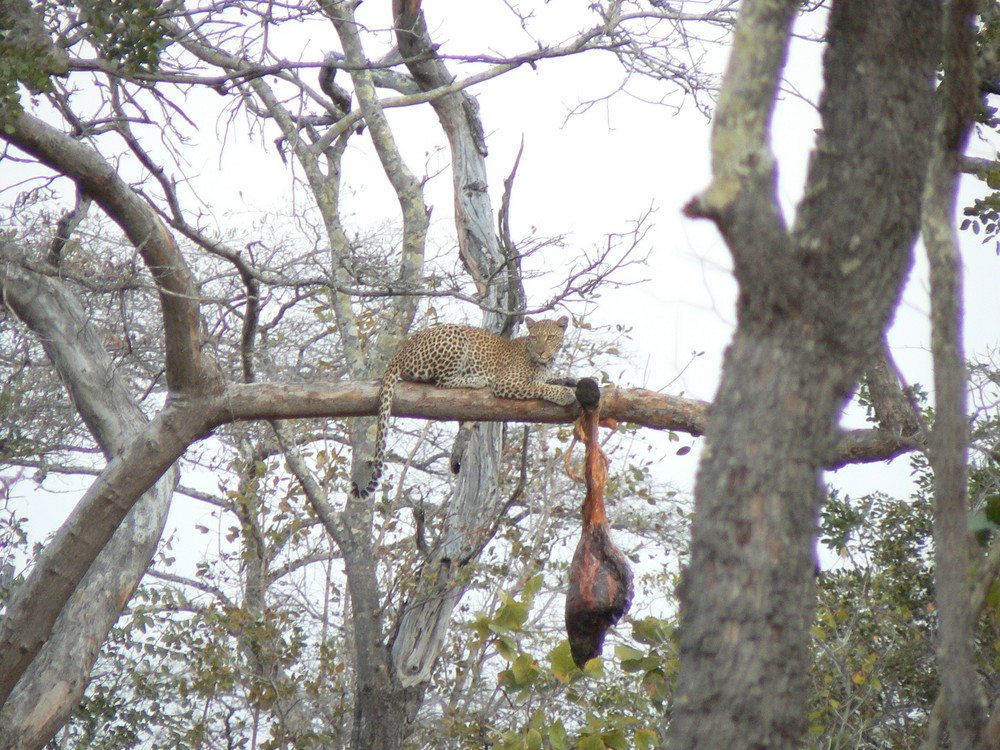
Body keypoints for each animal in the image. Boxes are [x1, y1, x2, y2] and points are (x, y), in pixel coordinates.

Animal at [356, 318, 580, 500]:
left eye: (550, 337)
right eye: (535, 337)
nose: (541, 352)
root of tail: (404, 348)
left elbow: (551, 380)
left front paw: (570, 381)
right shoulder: (507, 383)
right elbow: (540, 386)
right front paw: (564, 394)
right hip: (455, 337)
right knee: (442, 382)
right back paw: (477, 379)